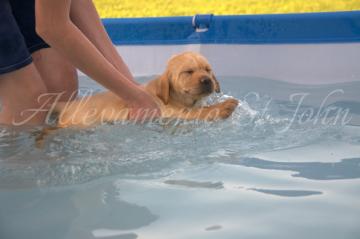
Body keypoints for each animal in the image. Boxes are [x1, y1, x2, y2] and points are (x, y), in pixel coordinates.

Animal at [52, 51, 238, 128]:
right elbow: (198, 112)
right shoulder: (170, 113)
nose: (207, 80)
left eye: (207, 70)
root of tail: (68, 104)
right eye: (188, 72)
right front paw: (224, 107)